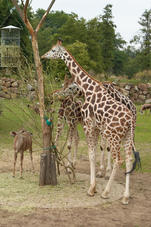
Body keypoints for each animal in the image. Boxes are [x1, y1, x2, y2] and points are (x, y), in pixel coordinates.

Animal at [41, 40, 137, 205]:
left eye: (53, 50)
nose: (43, 56)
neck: (87, 89)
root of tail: (131, 120)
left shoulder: (88, 125)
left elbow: (91, 154)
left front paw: (92, 189)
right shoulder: (96, 127)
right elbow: (94, 151)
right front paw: (94, 185)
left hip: (114, 136)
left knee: (118, 160)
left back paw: (106, 192)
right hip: (127, 137)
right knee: (129, 159)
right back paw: (125, 197)